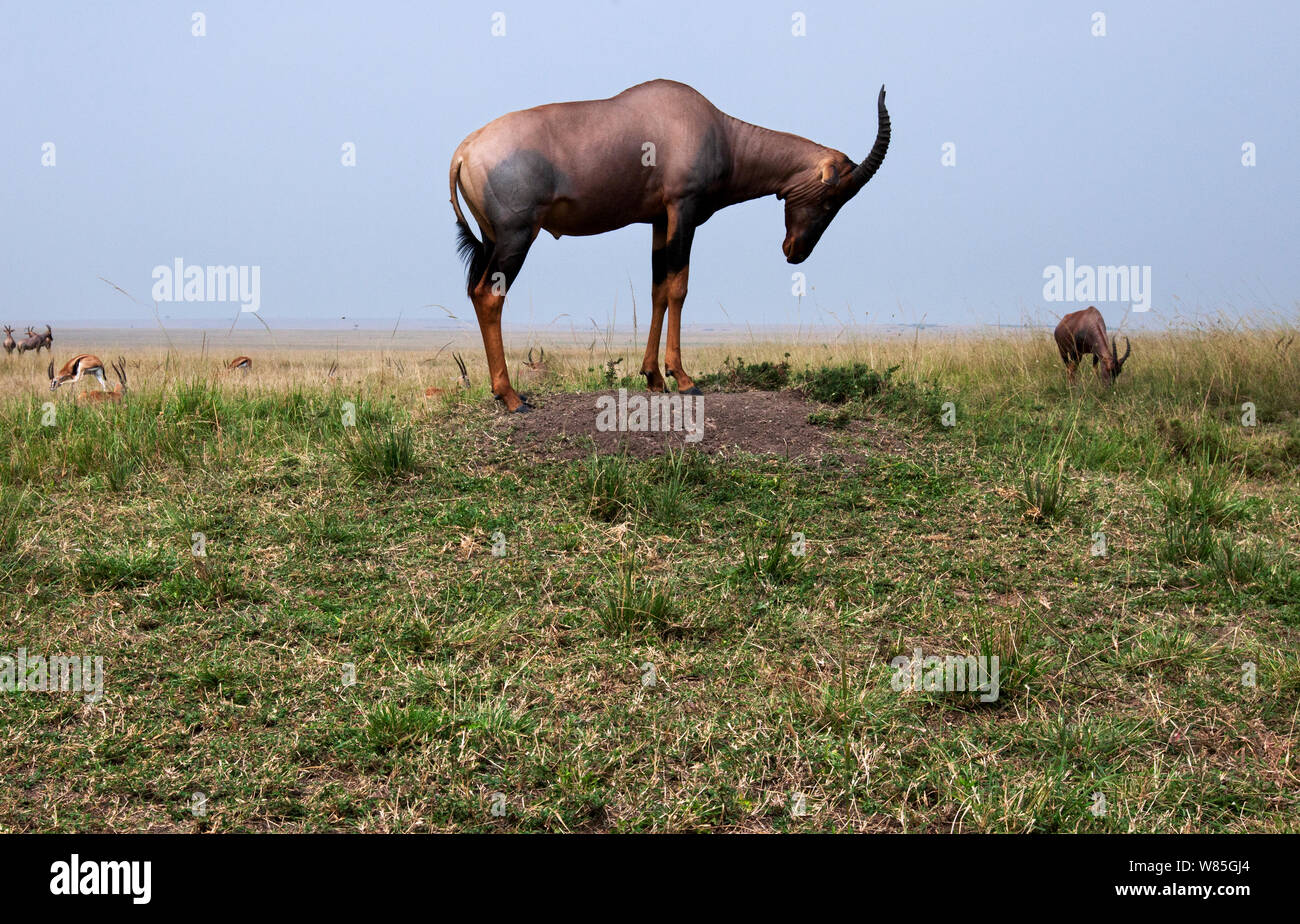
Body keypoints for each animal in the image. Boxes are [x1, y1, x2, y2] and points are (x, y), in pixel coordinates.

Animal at [452, 79, 889, 413]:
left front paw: (653, 377)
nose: (795, 251)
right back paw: (511, 398)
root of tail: (465, 150)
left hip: (492, 238)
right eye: (832, 197)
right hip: (517, 235)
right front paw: (683, 379)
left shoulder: (660, 220)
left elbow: (658, 289)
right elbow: (679, 287)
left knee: (474, 291)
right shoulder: (684, 208)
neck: (714, 127)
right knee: (489, 295)